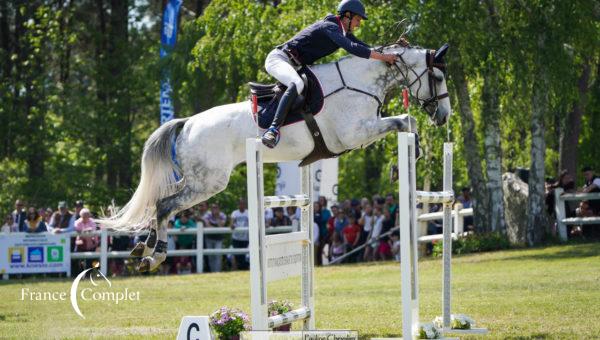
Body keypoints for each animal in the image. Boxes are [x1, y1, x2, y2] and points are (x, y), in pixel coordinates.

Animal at [97, 43, 450, 270]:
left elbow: (405, 122)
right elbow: (404, 121)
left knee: (160, 203)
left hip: (196, 179)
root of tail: (187, 123)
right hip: (208, 183)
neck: (358, 82)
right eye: (438, 78)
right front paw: (409, 156)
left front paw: (412, 154)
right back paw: (154, 256)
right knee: (164, 206)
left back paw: (141, 248)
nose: (444, 116)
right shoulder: (355, 133)